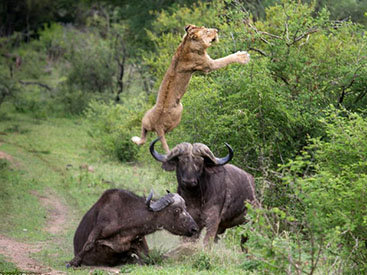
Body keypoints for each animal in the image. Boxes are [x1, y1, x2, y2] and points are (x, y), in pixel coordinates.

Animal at [66, 190, 198, 268]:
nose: (194, 229)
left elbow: (149, 257)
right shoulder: (100, 228)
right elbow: (88, 244)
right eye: (177, 210)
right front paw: (73, 262)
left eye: (186, 208)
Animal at [132, 24, 250, 153]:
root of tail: (158, 126)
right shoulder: (209, 65)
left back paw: (135, 139)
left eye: (206, 28)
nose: (217, 30)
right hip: (179, 111)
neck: (187, 44)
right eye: (207, 31)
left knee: (143, 135)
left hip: (146, 118)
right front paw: (243, 56)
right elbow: (227, 58)